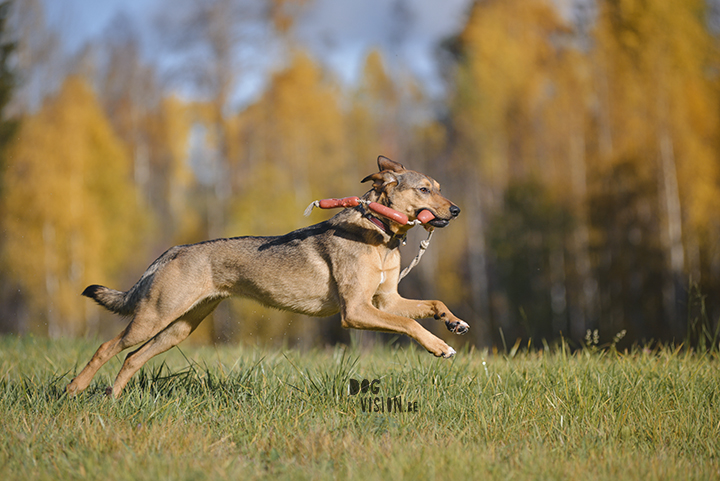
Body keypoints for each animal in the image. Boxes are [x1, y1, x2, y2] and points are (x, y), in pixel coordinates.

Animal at [67, 156, 466, 396]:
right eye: (424, 189)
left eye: (440, 188)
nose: (457, 211)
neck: (380, 235)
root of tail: (174, 250)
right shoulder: (356, 311)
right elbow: (411, 325)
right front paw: (439, 346)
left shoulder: (387, 301)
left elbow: (432, 303)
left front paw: (454, 323)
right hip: (153, 317)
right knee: (107, 348)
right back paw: (75, 389)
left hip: (179, 327)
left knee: (132, 358)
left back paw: (112, 397)